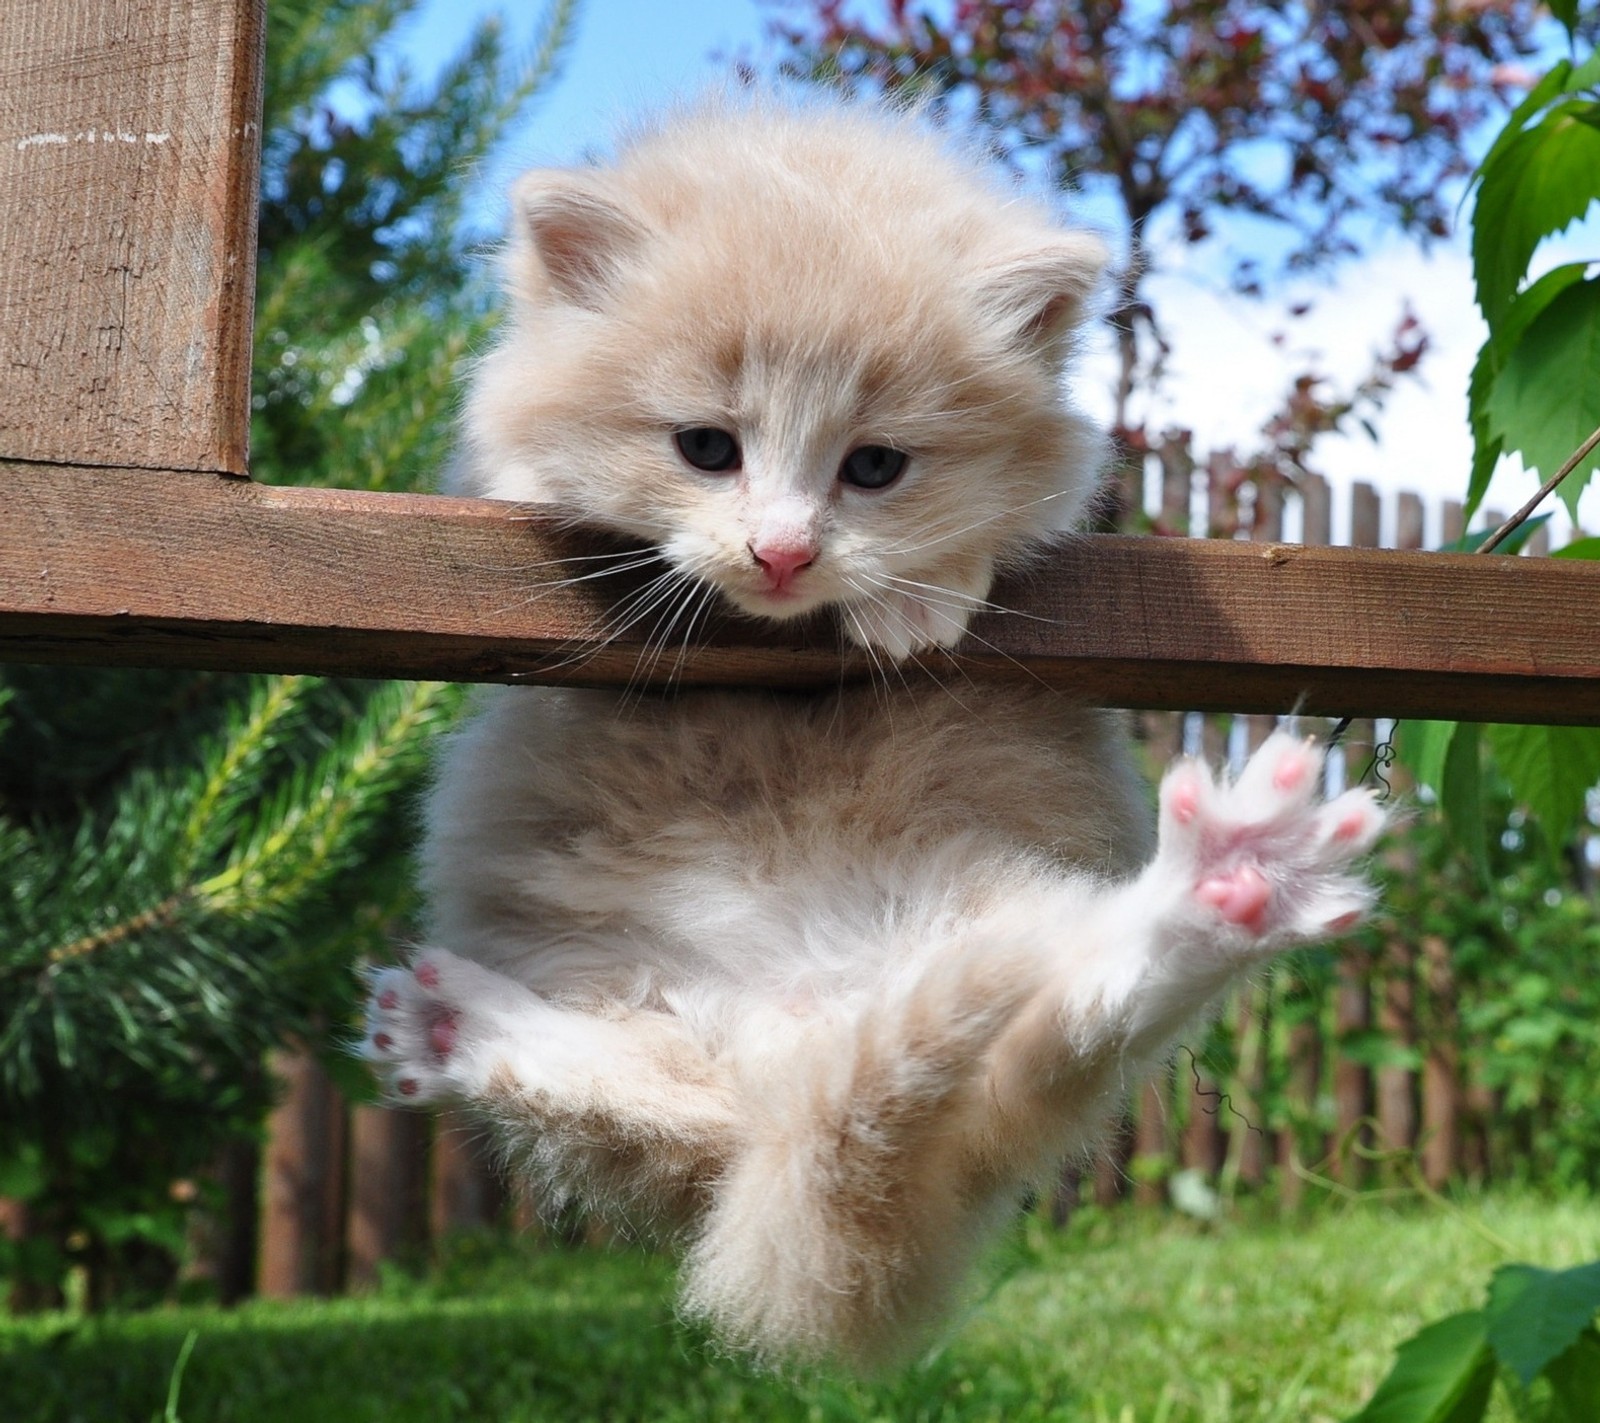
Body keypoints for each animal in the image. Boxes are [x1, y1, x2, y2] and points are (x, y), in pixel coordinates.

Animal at [356, 94, 1382, 1370]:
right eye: (706, 446)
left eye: (876, 466)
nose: (784, 553)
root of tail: (805, 1031)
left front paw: (919, 594)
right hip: (640, 1000)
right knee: (687, 1113)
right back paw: (455, 1028)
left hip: (995, 950)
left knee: (1074, 1010)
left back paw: (1229, 887)